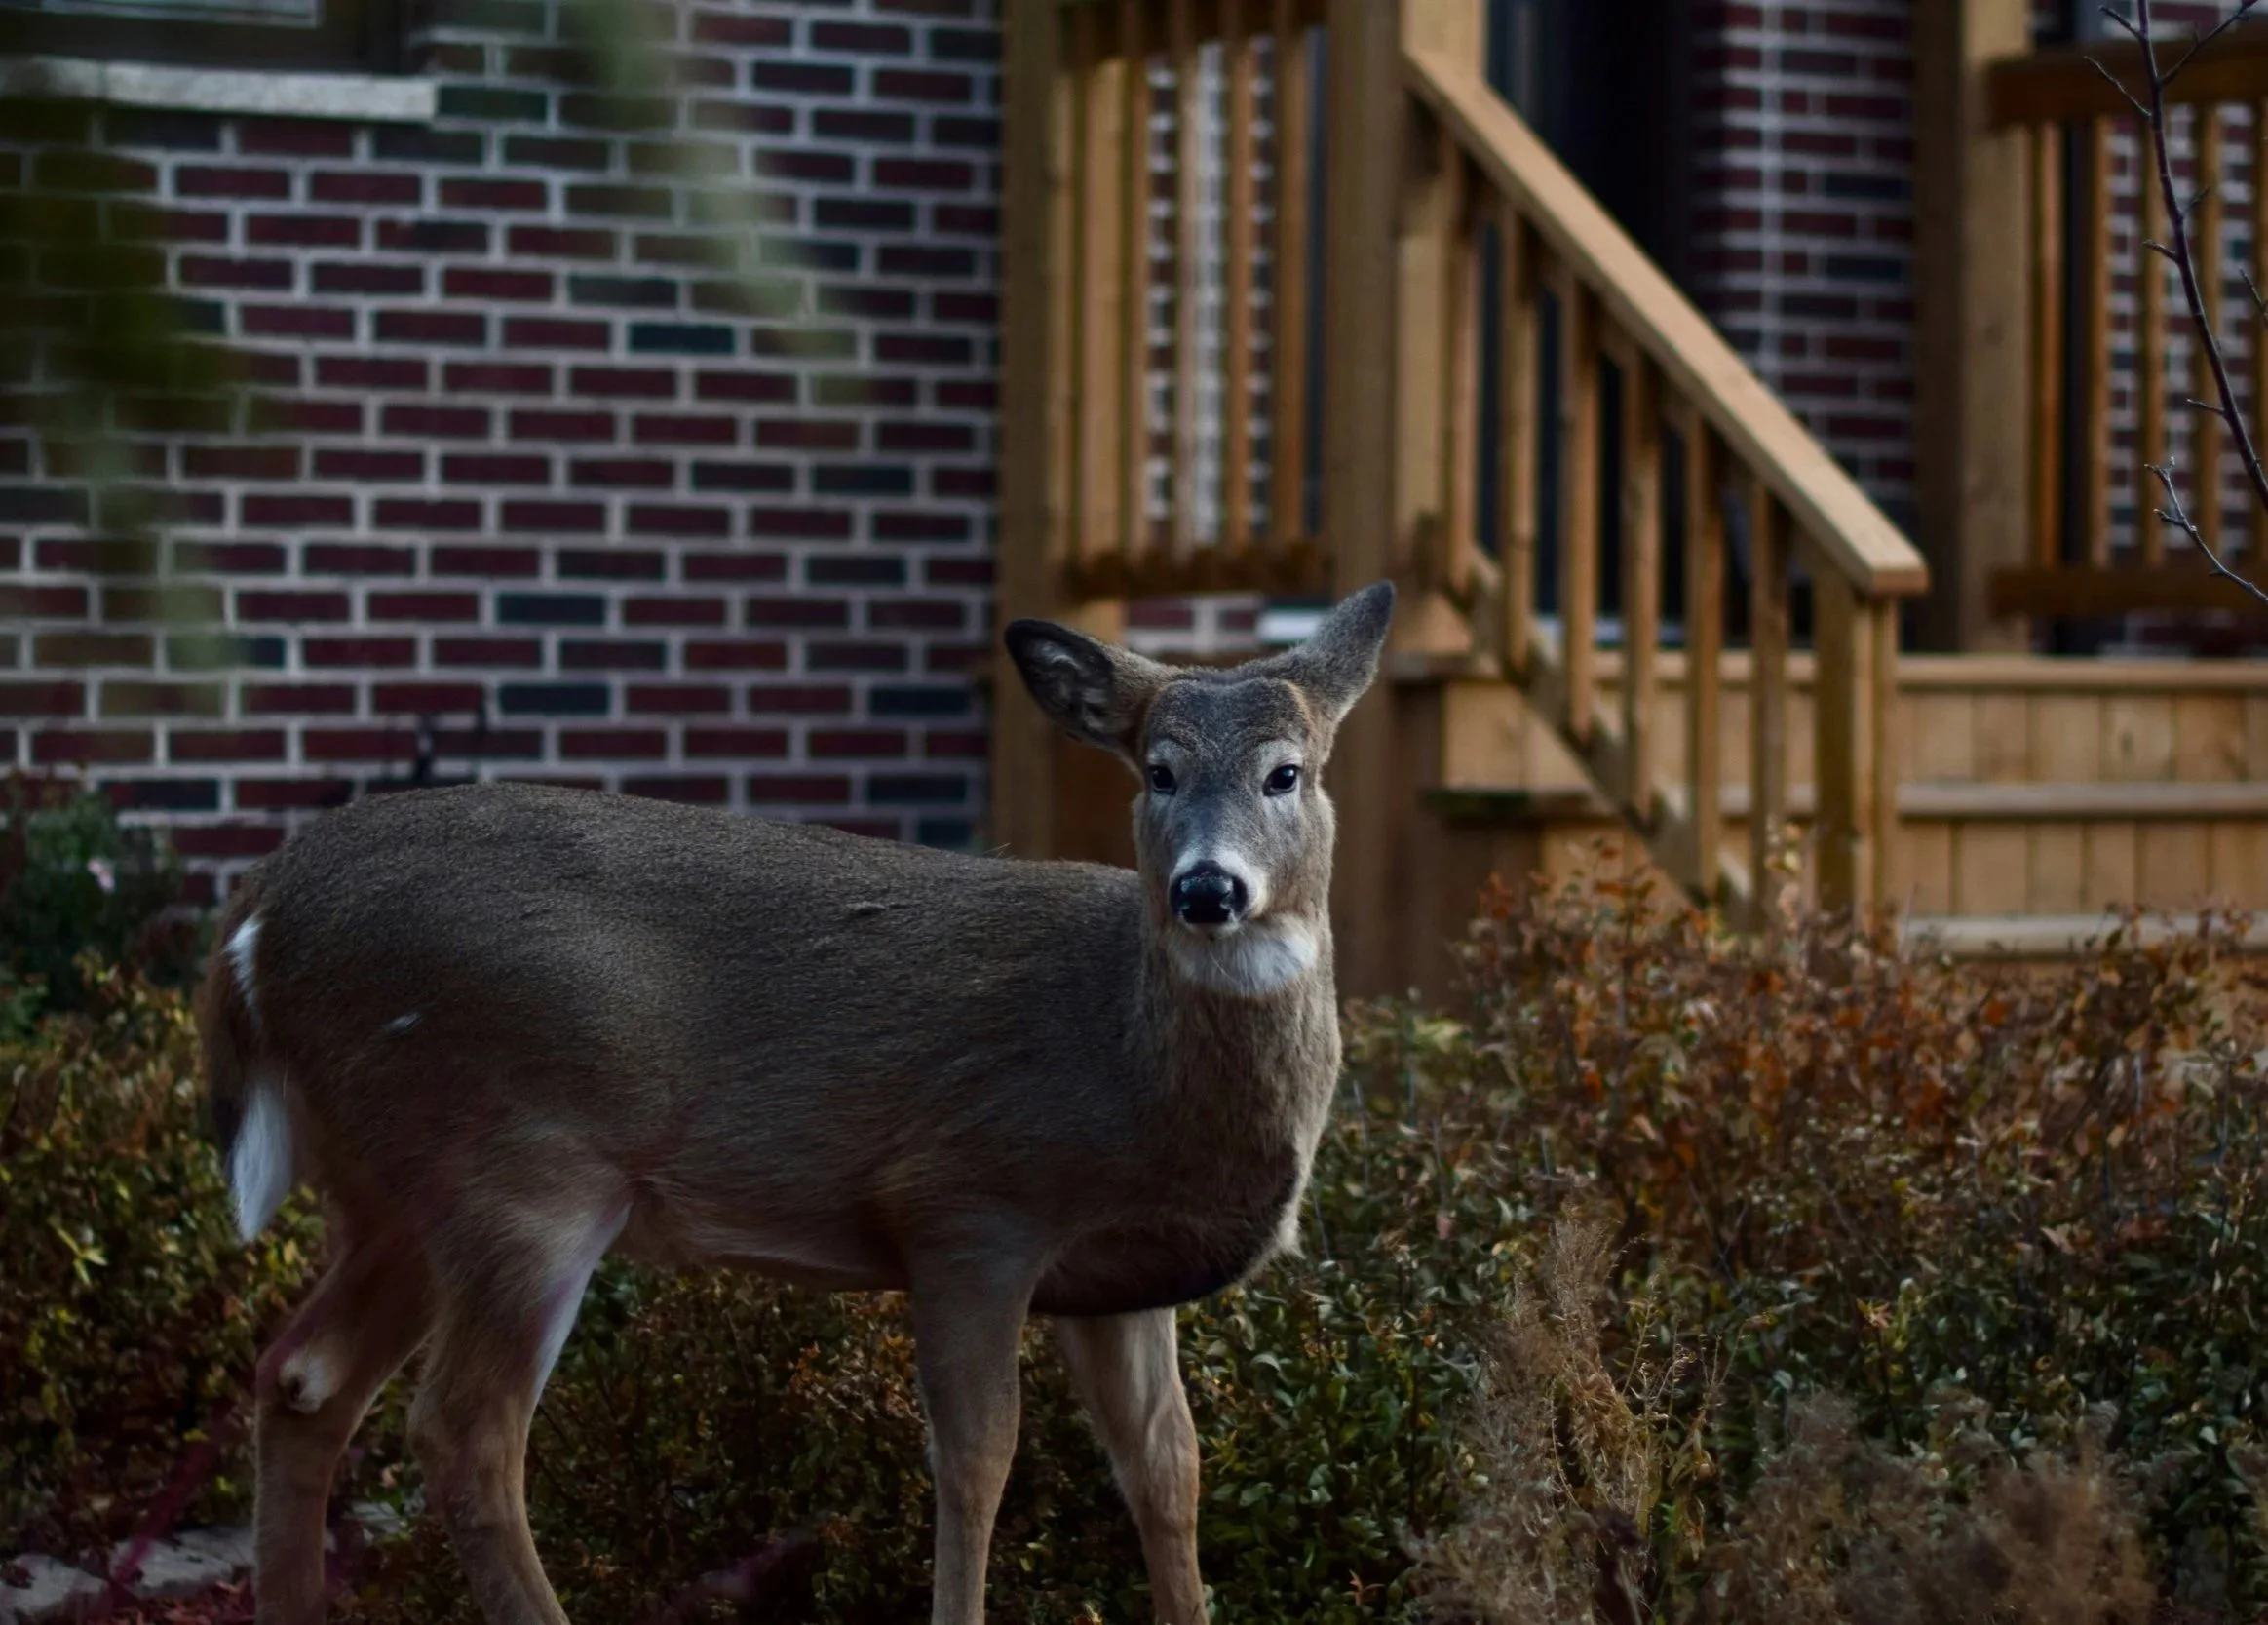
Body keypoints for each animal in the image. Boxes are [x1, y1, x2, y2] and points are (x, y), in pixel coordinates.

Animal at [195, 581, 1396, 1625]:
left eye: (1286, 772)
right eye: (1156, 770)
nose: (1207, 888)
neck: (1133, 1060)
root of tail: (255, 919)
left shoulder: (1119, 1279)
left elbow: (1166, 1467)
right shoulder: (969, 1203)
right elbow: (977, 1461)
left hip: (394, 1186)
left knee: (303, 1378)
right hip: (521, 1163)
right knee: (463, 1435)